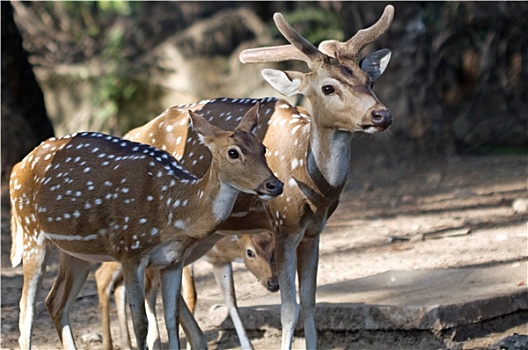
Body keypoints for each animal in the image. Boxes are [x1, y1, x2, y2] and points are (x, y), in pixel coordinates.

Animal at [95, 231, 278, 348]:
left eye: (274, 249)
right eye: (250, 252)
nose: (274, 283)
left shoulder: (220, 263)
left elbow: (231, 299)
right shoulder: (176, 261)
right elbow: (190, 295)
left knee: (118, 285)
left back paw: (126, 344)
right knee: (101, 276)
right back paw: (108, 345)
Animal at [121, 6, 394, 348]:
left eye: (369, 81)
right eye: (328, 87)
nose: (382, 115)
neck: (310, 182)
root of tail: (132, 131)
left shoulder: (314, 232)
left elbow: (311, 303)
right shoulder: (283, 224)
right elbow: (289, 309)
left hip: (201, 234)